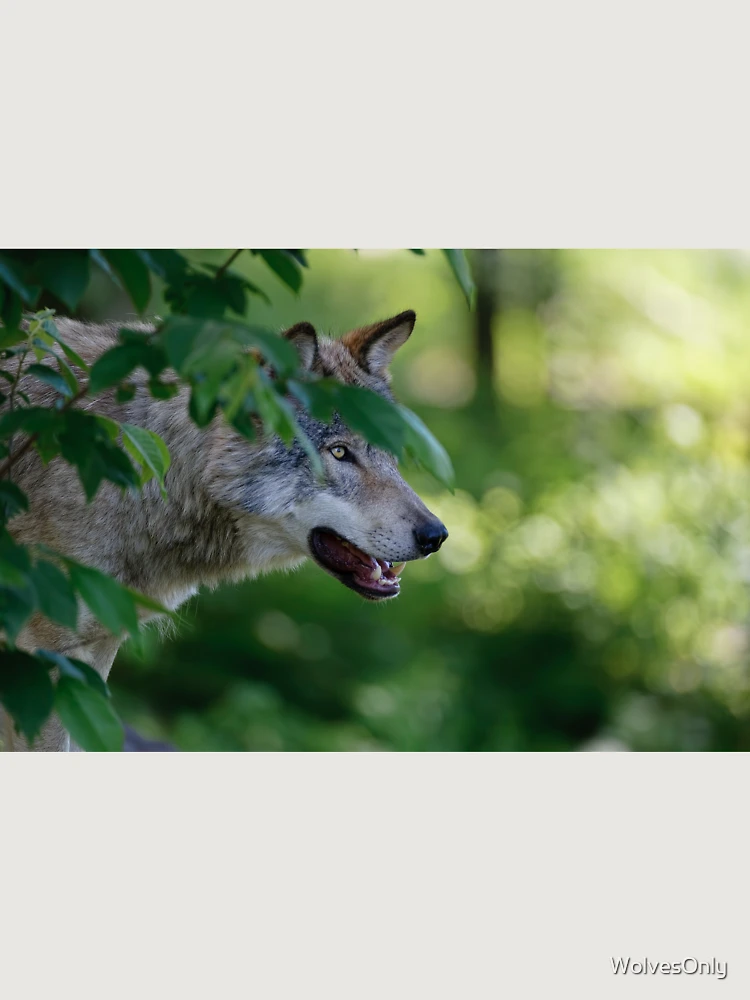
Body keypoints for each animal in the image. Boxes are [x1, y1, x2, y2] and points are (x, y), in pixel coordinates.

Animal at [3, 310, 448, 750]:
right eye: (339, 452)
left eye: (391, 454)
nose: (437, 536)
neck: (148, 472)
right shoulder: (45, 656)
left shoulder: (95, 652)